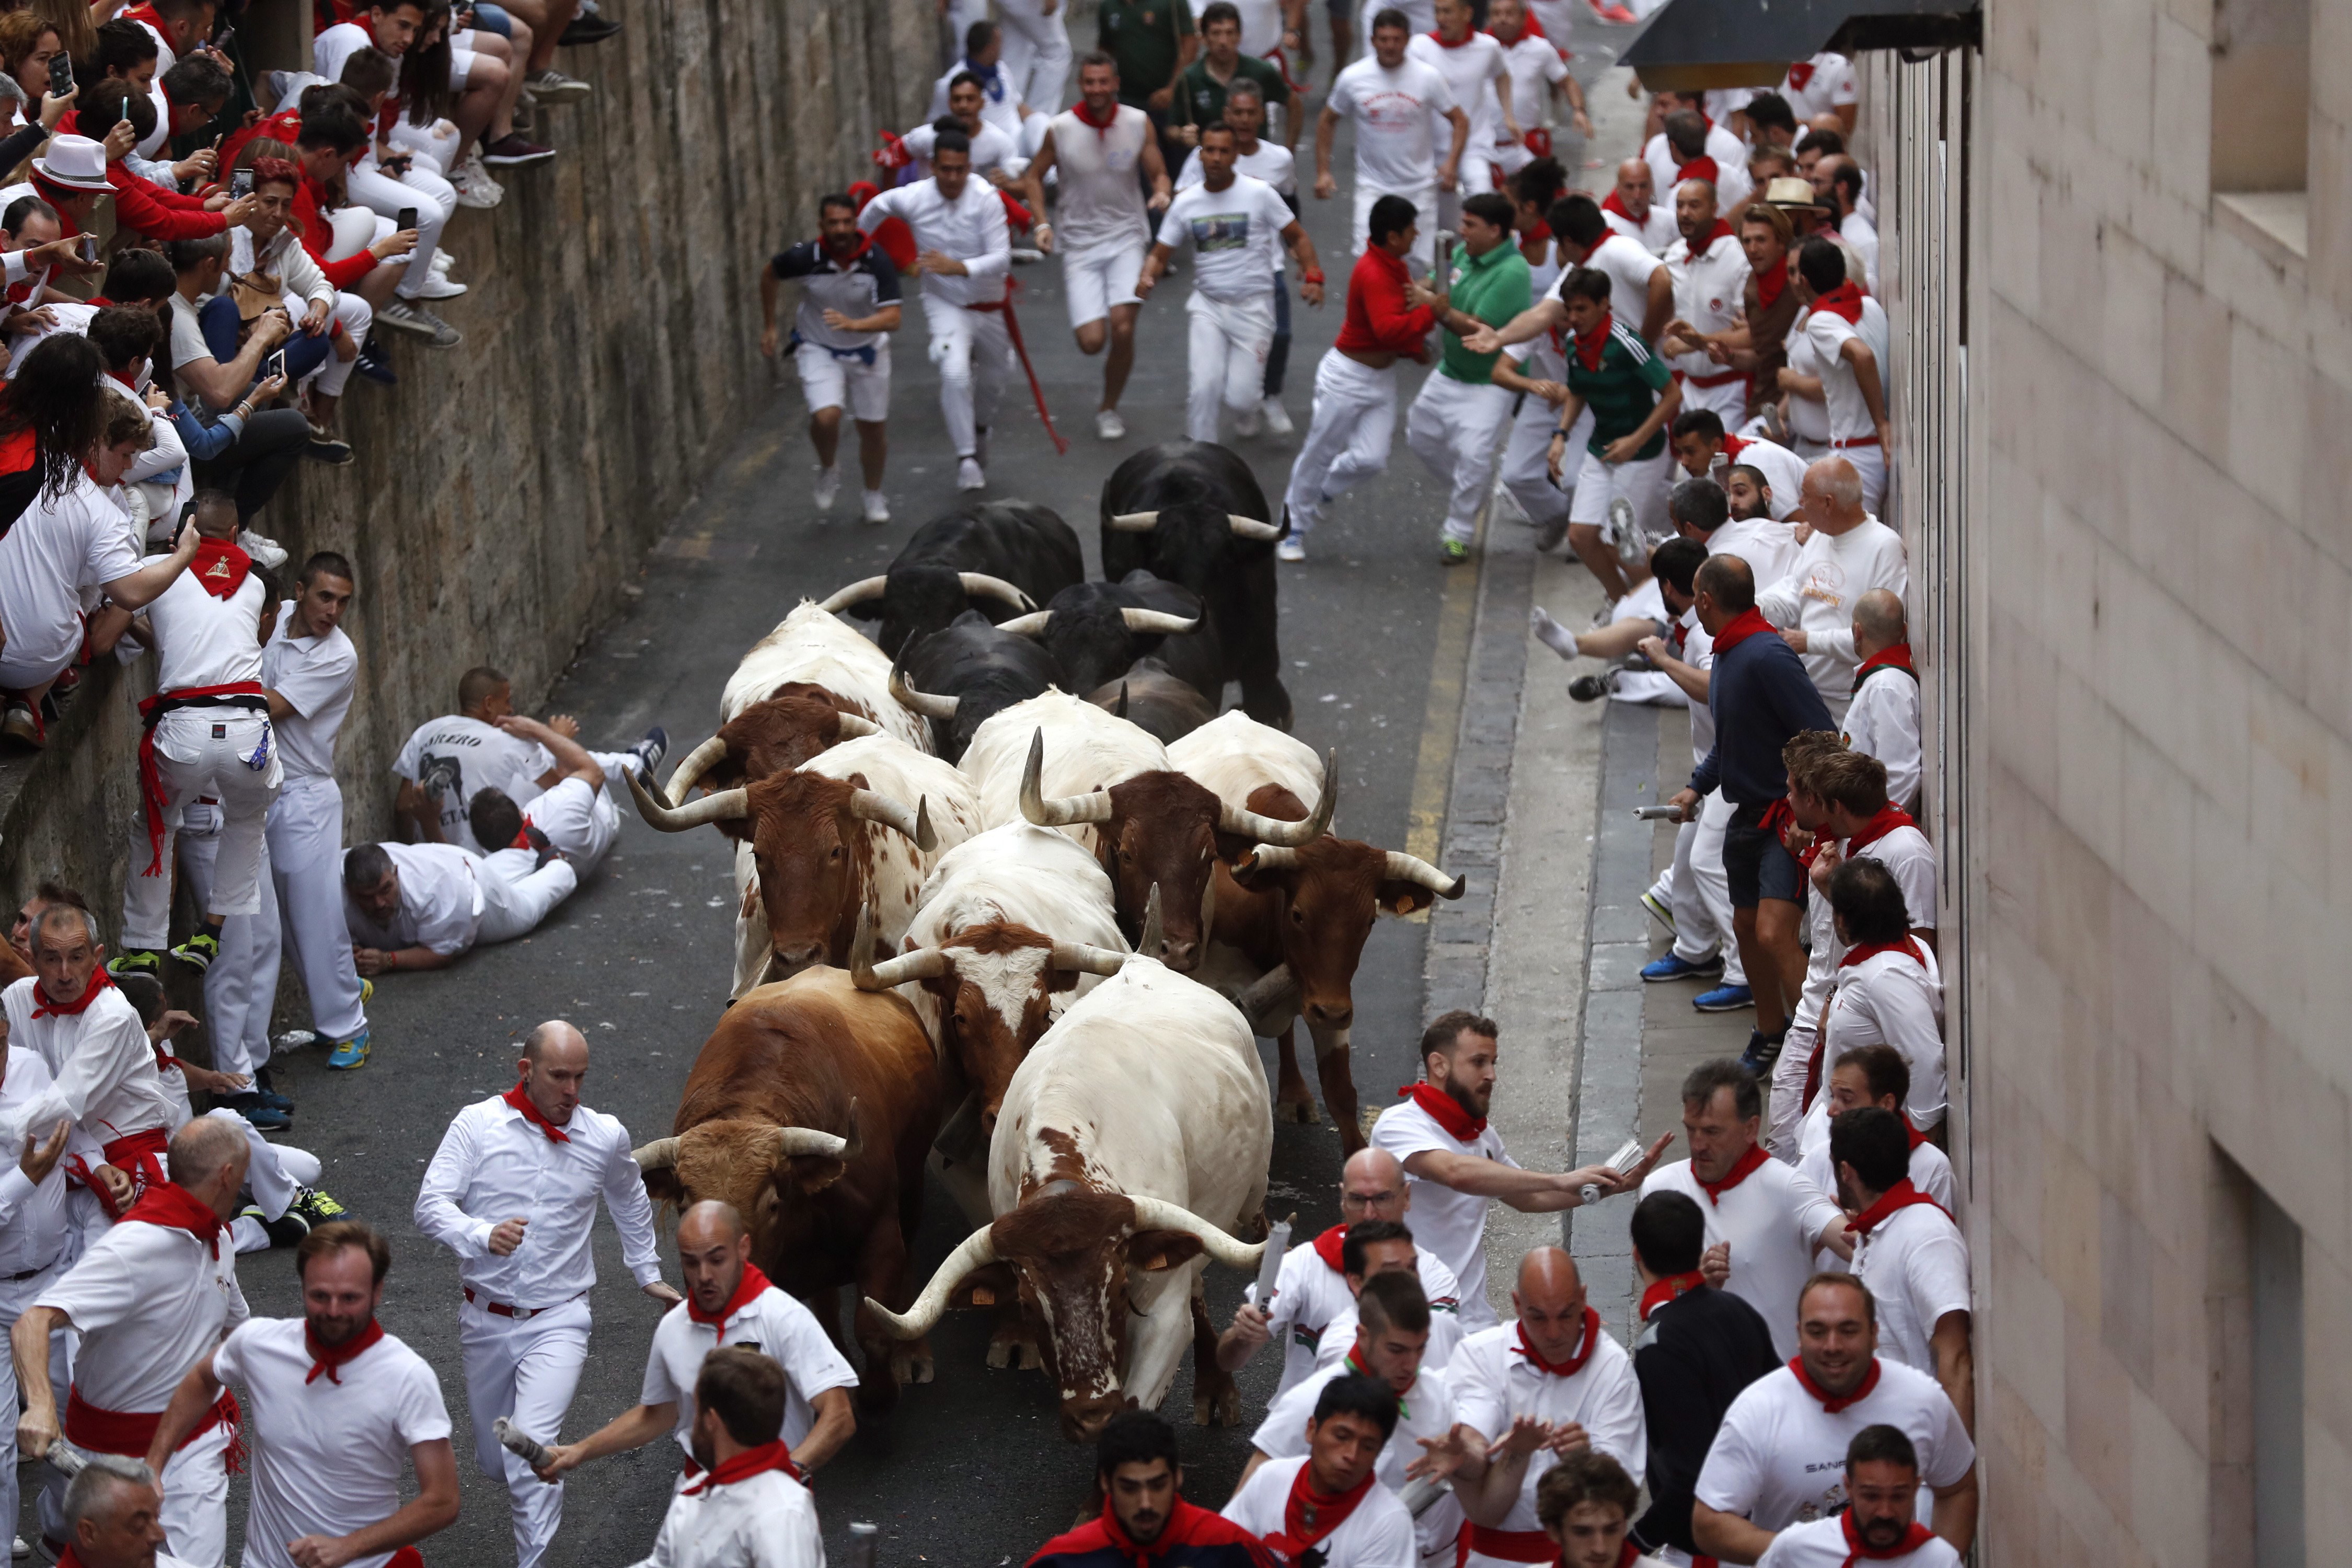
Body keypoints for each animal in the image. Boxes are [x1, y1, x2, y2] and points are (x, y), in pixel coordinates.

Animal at [640, 969, 950, 1410]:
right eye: (685, 1206)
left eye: (773, 1204)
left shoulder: (881, 1237)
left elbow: (873, 1329)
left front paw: (880, 1397)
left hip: (911, 1189)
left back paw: (913, 1356)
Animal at [1167, 710, 1458, 1151]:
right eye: (1299, 915)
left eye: (1370, 921)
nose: (1332, 1012)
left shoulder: (1330, 991)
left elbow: (1340, 1091)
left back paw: (1296, 1095)